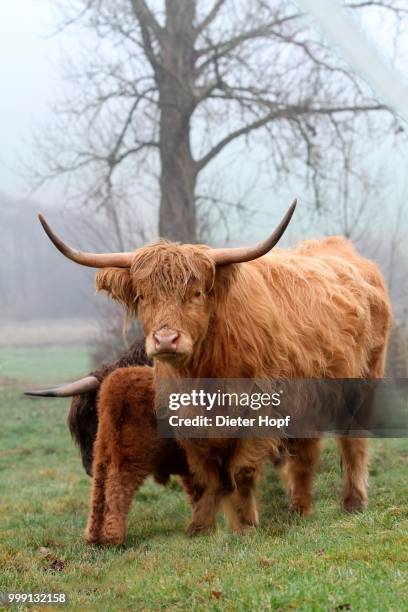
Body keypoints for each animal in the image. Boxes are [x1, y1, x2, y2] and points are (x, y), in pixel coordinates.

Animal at [38, 202, 392, 536]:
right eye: (143, 297)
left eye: (196, 293)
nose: (165, 339)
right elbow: (207, 475)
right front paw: (203, 527)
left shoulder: (259, 413)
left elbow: (240, 471)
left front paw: (244, 525)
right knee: (305, 453)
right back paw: (299, 507)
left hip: (363, 382)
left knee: (352, 443)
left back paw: (352, 503)